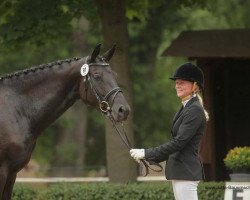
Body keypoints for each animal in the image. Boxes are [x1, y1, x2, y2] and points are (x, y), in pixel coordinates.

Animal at [0, 44, 131, 200]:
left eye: (115, 75)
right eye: (97, 76)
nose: (123, 110)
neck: (14, 109)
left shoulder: (12, 175)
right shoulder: (2, 172)